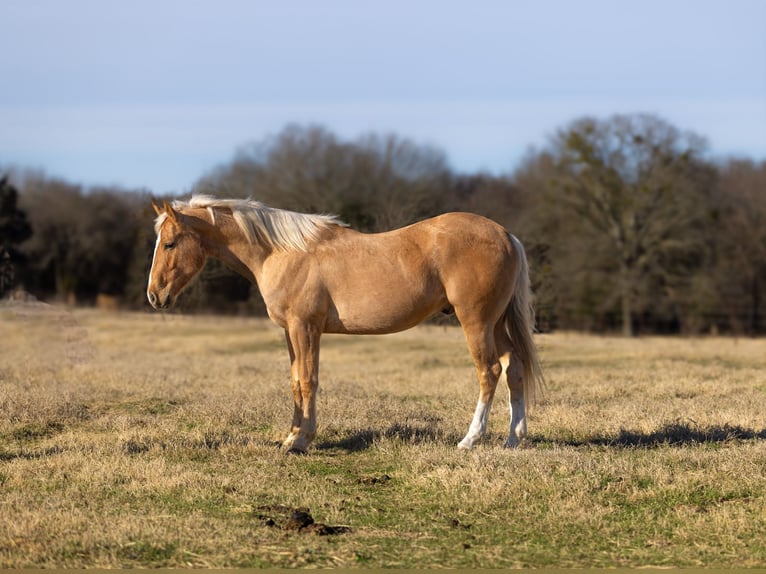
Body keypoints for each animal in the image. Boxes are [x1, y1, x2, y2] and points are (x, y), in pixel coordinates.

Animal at [146, 195, 544, 453]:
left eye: (170, 244)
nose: (154, 296)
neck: (282, 252)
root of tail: (506, 235)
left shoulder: (305, 327)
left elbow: (308, 380)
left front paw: (301, 441)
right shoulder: (291, 331)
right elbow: (295, 381)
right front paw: (291, 437)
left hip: (475, 322)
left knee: (489, 372)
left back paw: (470, 440)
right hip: (495, 323)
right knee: (513, 367)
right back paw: (513, 439)